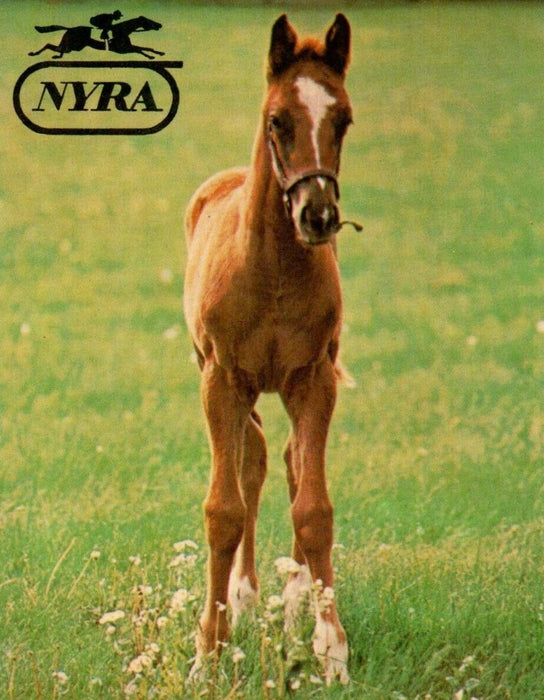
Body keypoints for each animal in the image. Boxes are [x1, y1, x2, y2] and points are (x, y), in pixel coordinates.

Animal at [29, 16, 164, 60]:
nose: (160, 25)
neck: (123, 30)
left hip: (74, 46)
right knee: (56, 48)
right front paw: (151, 57)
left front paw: (160, 53)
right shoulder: (123, 50)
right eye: (149, 21)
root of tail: (70, 28)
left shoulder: (128, 46)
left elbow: (146, 48)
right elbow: (139, 50)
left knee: (53, 46)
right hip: (73, 46)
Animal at [184, 14, 353, 684]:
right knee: (252, 461)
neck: (273, 266)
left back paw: (292, 598)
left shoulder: (315, 377)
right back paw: (246, 595)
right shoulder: (222, 379)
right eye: (277, 119)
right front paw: (209, 651)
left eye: (343, 119)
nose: (318, 215)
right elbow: (224, 510)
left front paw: (331, 648)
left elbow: (314, 508)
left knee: (284, 460)